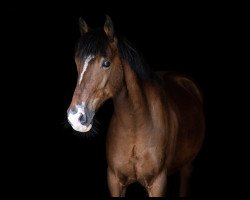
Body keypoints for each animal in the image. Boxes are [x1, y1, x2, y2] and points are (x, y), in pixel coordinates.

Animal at [67, 15, 205, 197]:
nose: (75, 117)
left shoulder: (158, 183)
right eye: (77, 61)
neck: (135, 126)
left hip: (188, 166)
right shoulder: (114, 181)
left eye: (106, 63)